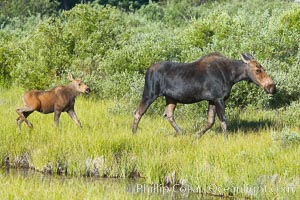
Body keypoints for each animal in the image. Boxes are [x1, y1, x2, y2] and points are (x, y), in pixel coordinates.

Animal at [132, 52, 276, 138]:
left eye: (263, 69)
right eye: (257, 70)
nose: (272, 87)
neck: (232, 76)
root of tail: (147, 71)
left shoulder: (211, 100)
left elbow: (210, 122)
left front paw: (196, 135)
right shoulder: (218, 98)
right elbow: (223, 121)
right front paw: (226, 139)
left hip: (171, 98)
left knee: (168, 115)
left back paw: (182, 133)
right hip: (150, 93)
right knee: (137, 112)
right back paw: (134, 134)